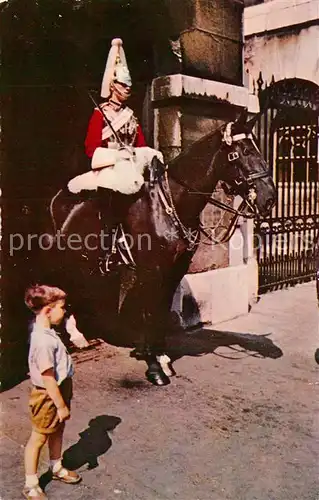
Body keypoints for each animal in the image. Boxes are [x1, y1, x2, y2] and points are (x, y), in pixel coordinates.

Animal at [43, 111, 276, 386]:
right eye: (243, 151)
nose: (270, 197)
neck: (171, 205)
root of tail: (57, 196)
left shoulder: (175, 269)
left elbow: (161, 310)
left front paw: (160, 356)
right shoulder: (152, 270)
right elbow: (149, 311)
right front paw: (154, 366)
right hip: (63, 258)